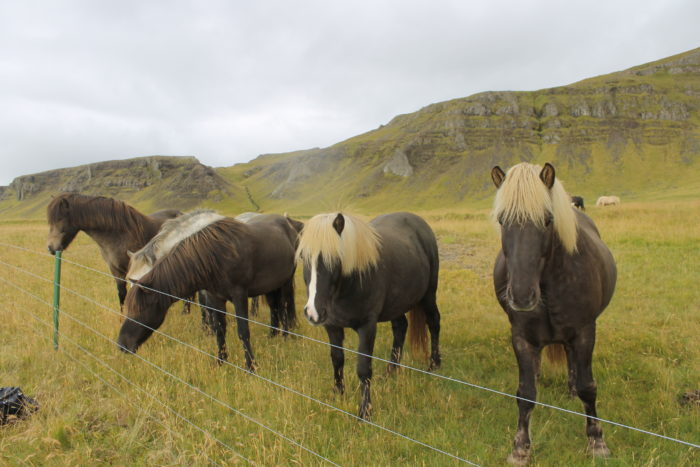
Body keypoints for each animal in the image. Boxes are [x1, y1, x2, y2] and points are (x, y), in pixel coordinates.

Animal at [117, 214, 298, 372]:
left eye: (141, 310)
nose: (122, 344)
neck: (216, 257)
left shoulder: (239, 295)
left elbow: (243, 331)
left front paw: (251, 367)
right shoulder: (215, 298)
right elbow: (219, 330)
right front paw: (220, 361)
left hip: (286, 282)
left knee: (284, 306)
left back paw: (285, 336)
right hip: (271, 286)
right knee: (274, 307)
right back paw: (272, 334)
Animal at [296, 212, 440, 420]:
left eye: (336, 258)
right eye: (303, 257)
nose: (313, 312)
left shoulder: (367, 327)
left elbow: (363, 368)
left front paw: (365, 411)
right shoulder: (332, 326)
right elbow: (337, 359)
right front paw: (338, 393)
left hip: (428, 294)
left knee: (434, 323)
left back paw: (434, 364)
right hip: (396, 304)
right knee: (400, 327)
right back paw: (391, 371)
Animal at [490, 164, 616, 464]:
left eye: (548, 220)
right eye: (502, 220)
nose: (521, 296)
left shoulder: (584, 333)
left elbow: (587, 387)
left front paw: (597, 442)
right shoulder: (522, 338)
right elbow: (525, 393)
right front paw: (520, 448)